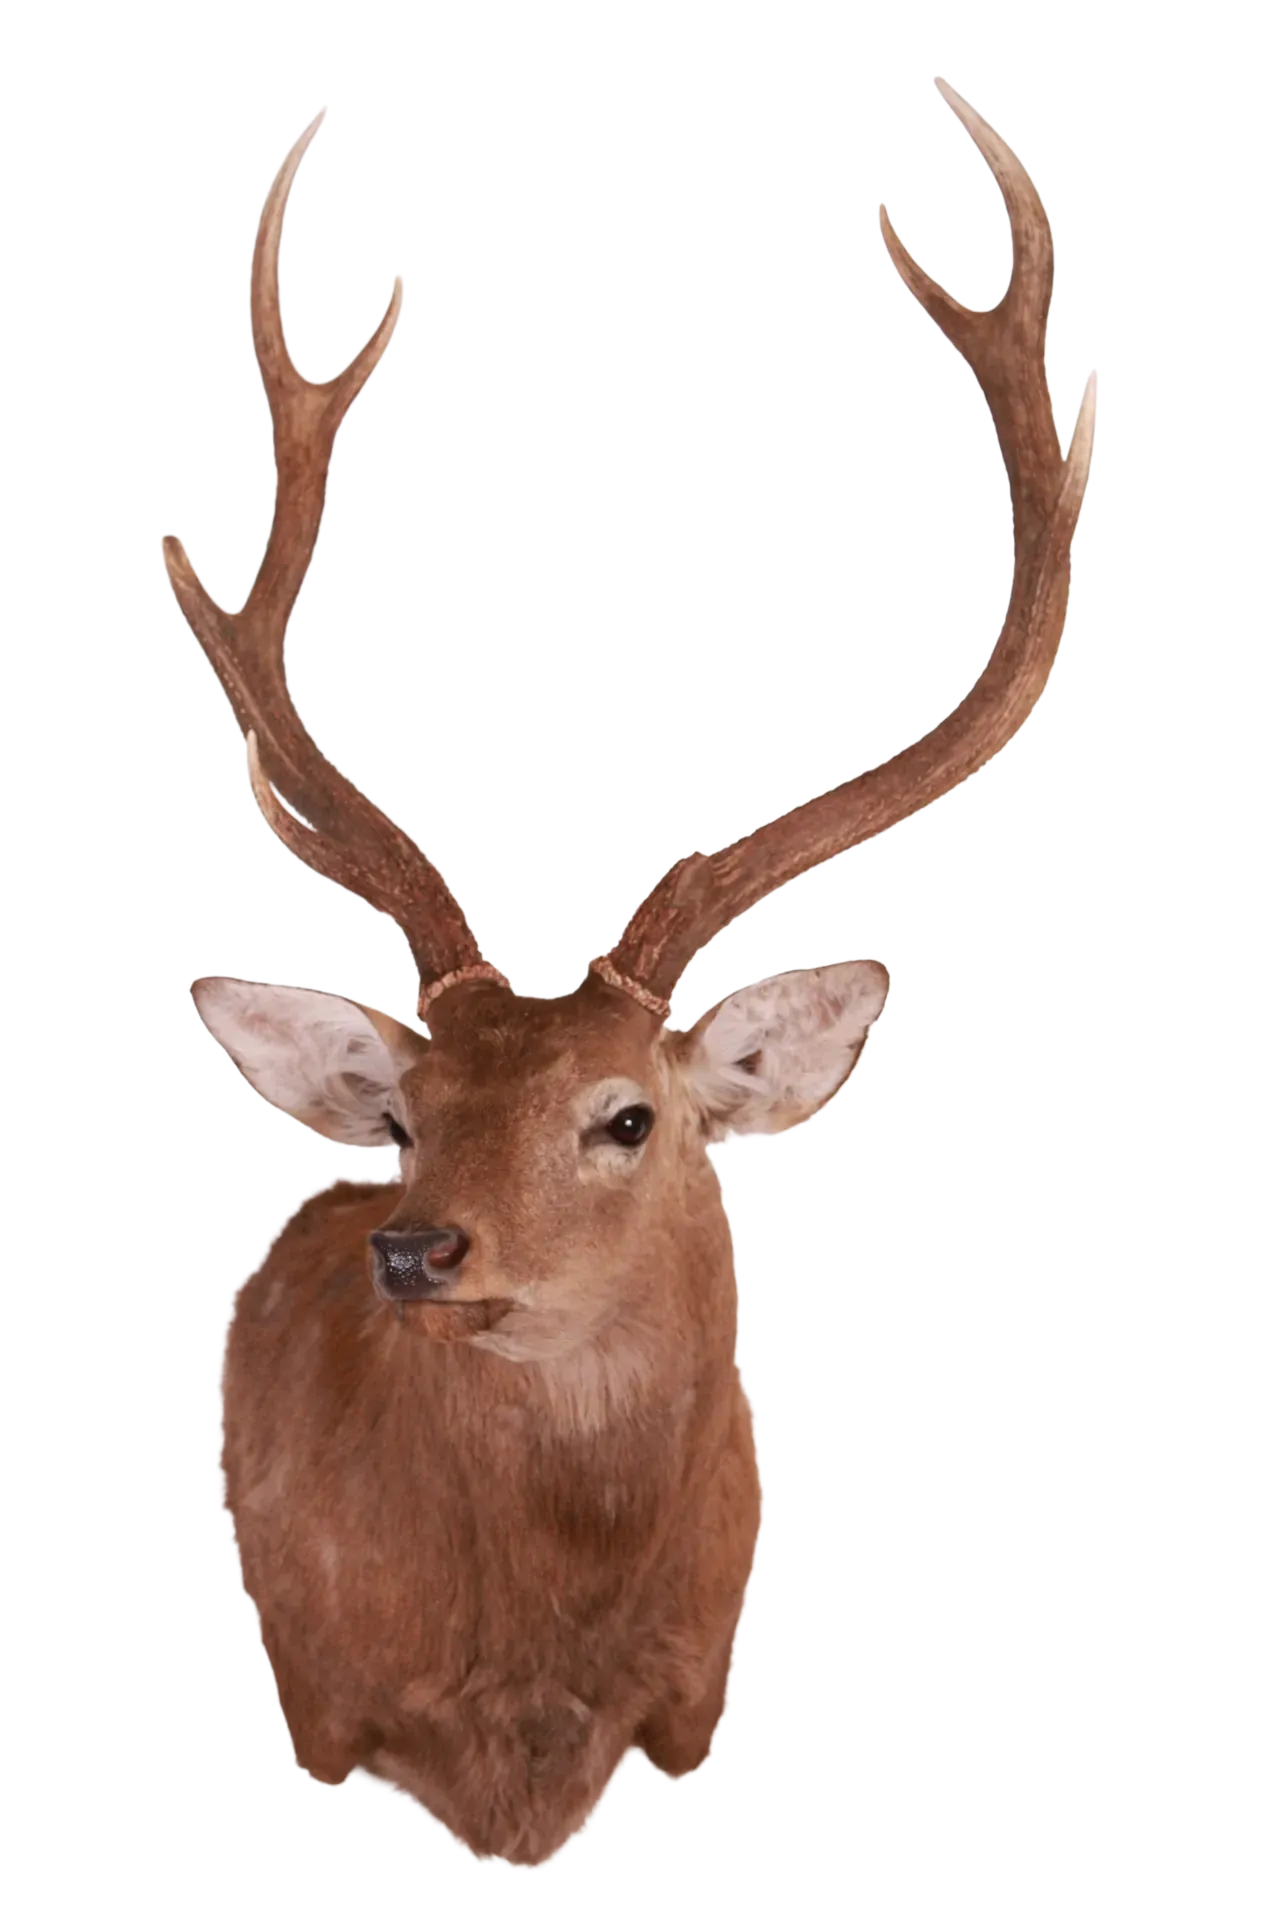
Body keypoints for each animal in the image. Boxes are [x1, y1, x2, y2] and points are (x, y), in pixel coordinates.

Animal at [166, 79, 1097, 1869]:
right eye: (402, 1115)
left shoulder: (696, 1692)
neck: (529, 1707)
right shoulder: (323, 1704)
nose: (416, 1247)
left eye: (626, 1117)